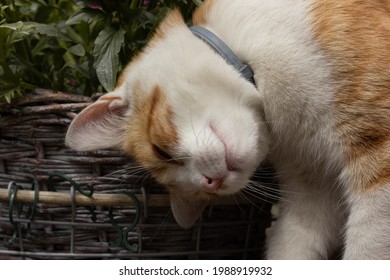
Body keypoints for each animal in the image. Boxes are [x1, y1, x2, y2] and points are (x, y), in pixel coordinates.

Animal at [65, 0, 390, 260]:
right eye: (201, 195)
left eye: (161, 150)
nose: (211, 183)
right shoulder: (312, 193)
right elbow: (293, 246)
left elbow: (368, 250)